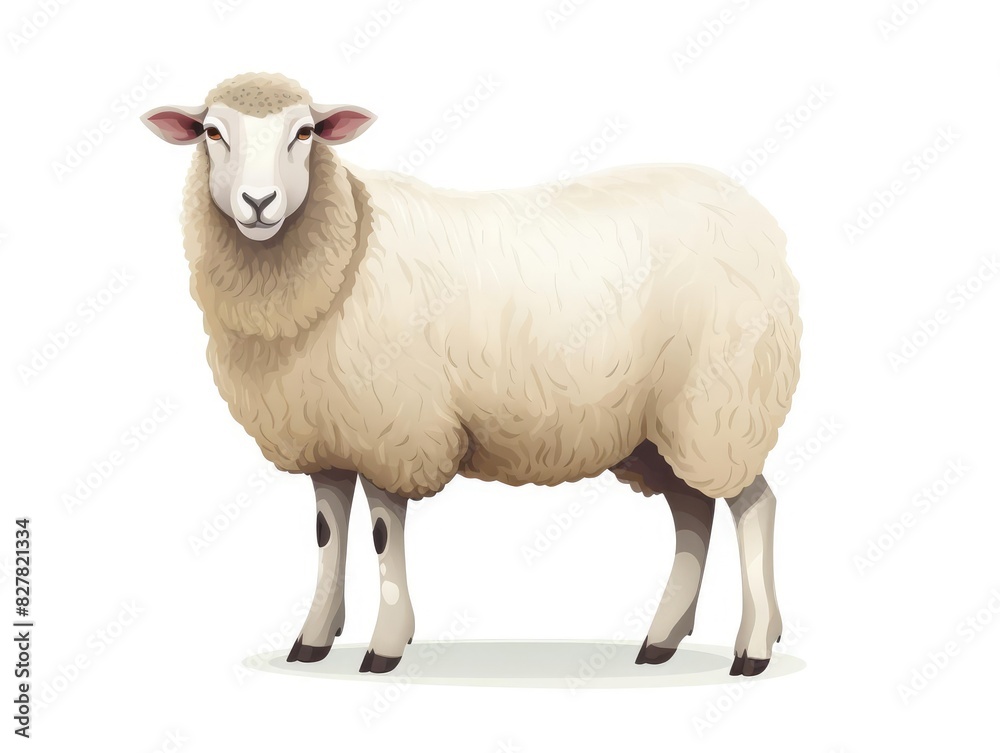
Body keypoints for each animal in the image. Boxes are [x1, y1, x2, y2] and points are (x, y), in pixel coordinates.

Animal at [142, 72, 801, 677]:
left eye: (303, 133)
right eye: (212, 132)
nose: (259, 203)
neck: (348, 242)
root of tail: (756, 216)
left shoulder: (394, 427)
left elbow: (382, 534)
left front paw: (386, 644)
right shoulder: (325, 433)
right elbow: (327, 535)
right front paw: (314, 637)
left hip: (725, 402)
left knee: (755, 506)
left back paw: (754, 646)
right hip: (663, 424)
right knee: (694, 514)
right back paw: (661, 640)